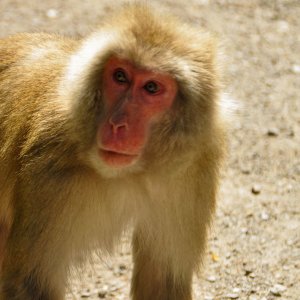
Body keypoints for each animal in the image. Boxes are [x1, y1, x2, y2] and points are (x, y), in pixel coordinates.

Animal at [0, 4, 227, 300]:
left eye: (151, 87)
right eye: (120, 76)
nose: (117, 124)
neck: (130, 174)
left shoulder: (192, 169)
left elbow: (163, 278)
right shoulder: (48, 170)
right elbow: (30, 282)